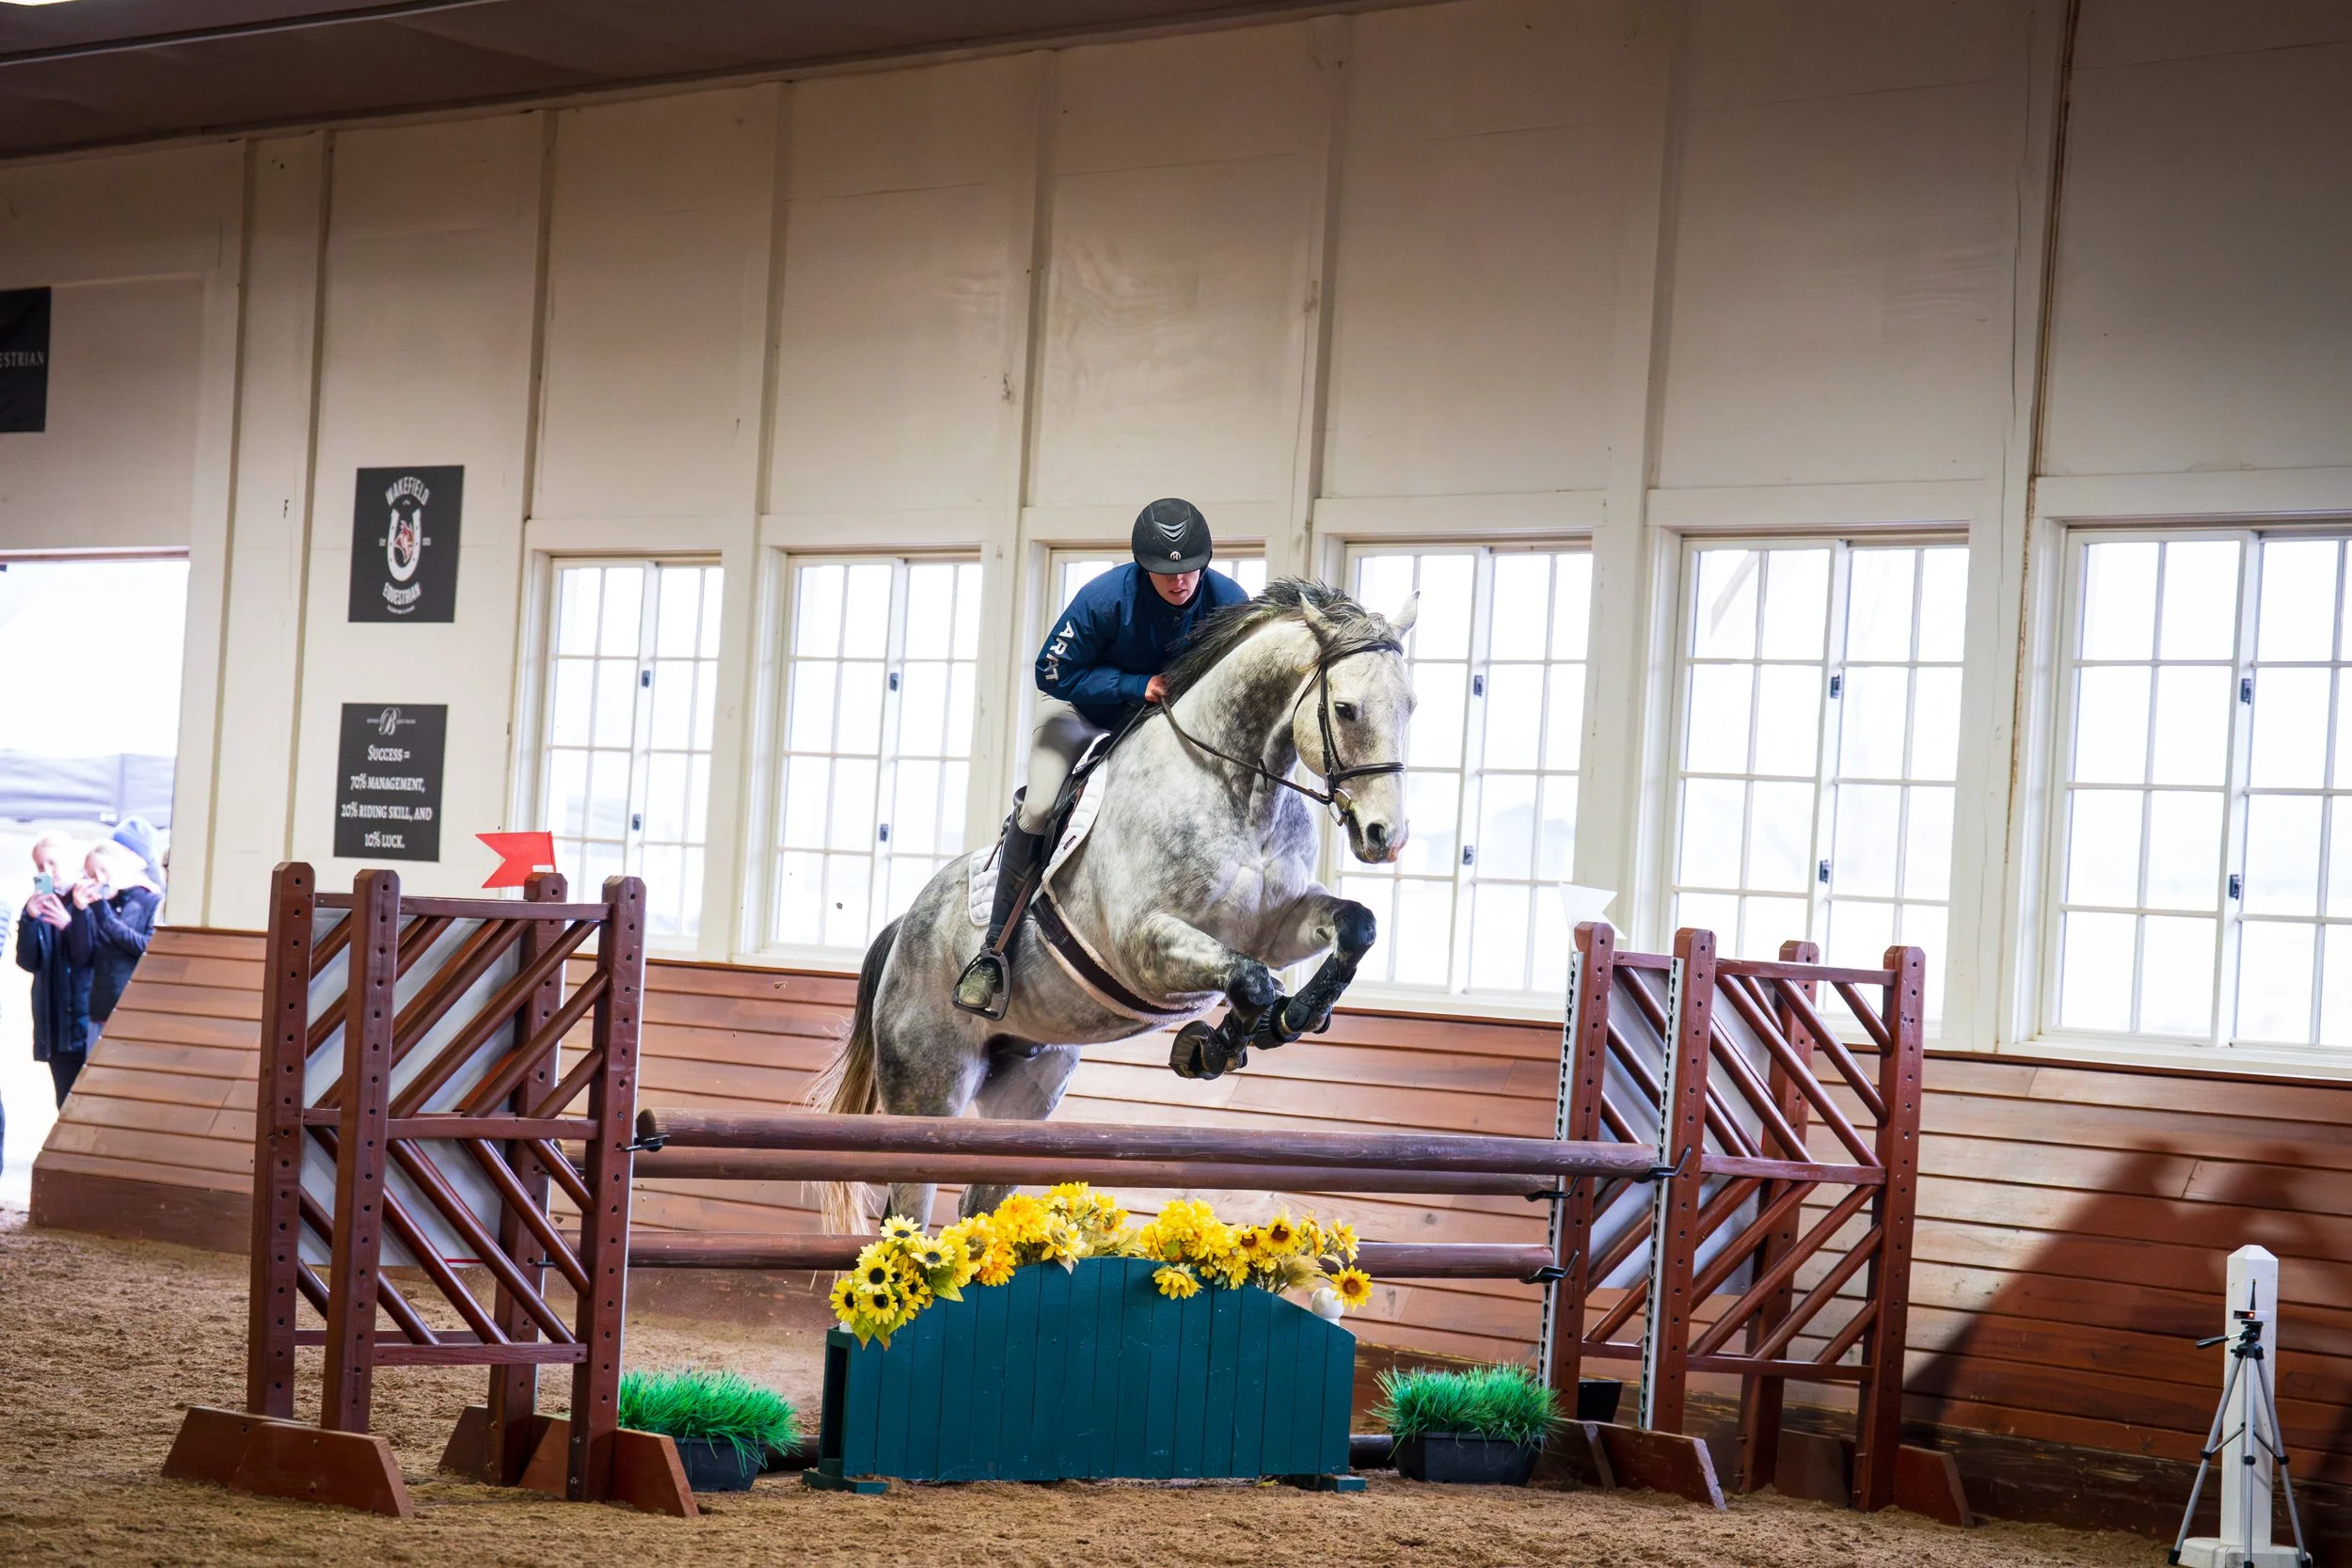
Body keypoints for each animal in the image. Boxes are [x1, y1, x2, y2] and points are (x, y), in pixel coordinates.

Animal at [815, 578, 1418, 1229]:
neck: (1236, 785)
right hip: (929, 1088)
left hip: (1027, 1089)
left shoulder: (1277, 926)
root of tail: (905, 928)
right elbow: (1250, 980)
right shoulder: (1144, 945)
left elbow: (1353, 927)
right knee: (911, 1208)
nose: (1386, 836)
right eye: (1346, 709)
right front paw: (1213, 1047)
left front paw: (1293, 1017)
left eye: (1411, 705)